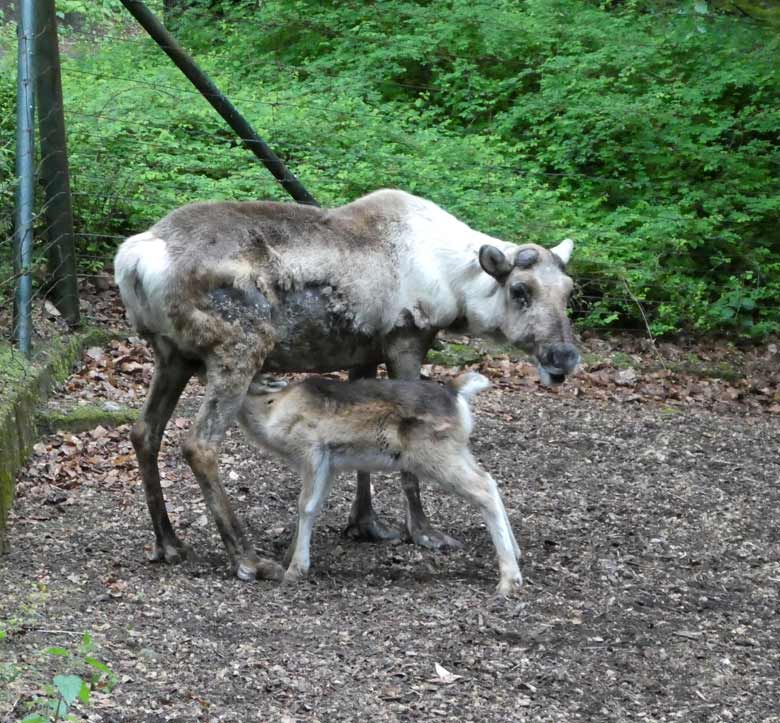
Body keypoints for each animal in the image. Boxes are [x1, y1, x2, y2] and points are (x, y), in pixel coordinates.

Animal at [238, 374, 524, 592]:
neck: (273, 416)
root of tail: (457, 395)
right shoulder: (330, 465)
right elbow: (315, 506)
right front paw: (288, 559)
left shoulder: (312, 452)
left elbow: (305, 506)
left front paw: (295, 569)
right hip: (458, 451)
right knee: (490, 480)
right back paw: (517, 553)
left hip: (435, 455)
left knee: (483, 489)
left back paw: (509, 580)